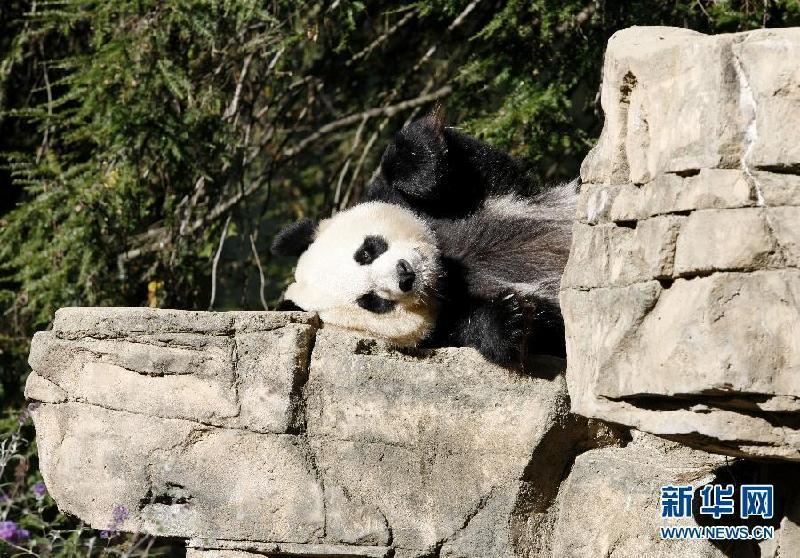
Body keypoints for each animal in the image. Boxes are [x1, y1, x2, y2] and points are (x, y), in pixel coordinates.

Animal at [272, 111, 580, 370]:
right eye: (371, 301)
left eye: (367, 251)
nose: (405, 274)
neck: (448, 273)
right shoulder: (442, 332)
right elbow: (537, 335)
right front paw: (511, 319)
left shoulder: (470, 198)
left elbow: (471, 163)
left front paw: (419, 168)